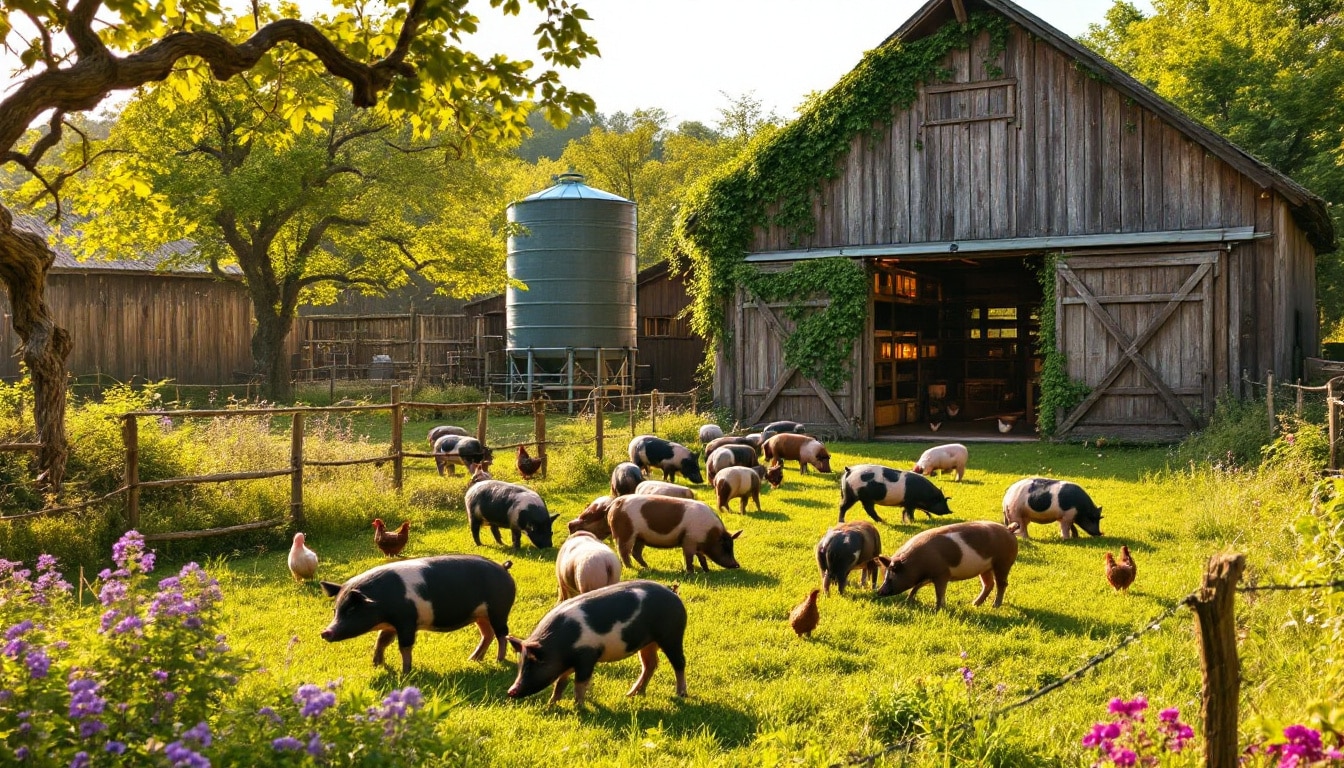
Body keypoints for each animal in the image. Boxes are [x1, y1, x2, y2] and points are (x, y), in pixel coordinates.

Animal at [317, 556, 516, 675]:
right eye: (335, 610)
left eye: (351, 610)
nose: (325, 632)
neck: (381, 602)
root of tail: (503, 568)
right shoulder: (391, 625)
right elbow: (381, 641)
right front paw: (376, 665)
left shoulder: (406, 621)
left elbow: (404, 646)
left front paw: (405, 673)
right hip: (480, 615)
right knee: (487, 634)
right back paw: (473, 659)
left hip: (499, 610)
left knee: (502, 634)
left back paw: (499, 661)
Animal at [505, 583, 688, 710]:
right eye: (520, 664)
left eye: (534, 664)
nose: (510, 691)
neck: (559, 645)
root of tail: (674, 596)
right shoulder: (569, 663)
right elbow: (560, 682)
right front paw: (550, 705)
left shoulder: (587, 656)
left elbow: (580, 683)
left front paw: (578, 708)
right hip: (648, 643)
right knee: (650, 664)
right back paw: (632, 694)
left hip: (672, 635)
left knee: (679, 662)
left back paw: (681, 695)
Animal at [569, 494, 747, 572]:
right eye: (726, 547)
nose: (736, 565)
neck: (710, 533)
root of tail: (614, 505)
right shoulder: (689, 540)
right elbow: (689, 557)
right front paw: (690, 572)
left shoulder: (695, 542)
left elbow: (701, 557)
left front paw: (706, 570)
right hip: (625, 533)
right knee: (624, 551)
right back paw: (633, 569)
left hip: (640, 537)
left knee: (635, 552)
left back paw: (647, 567)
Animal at [870, 519, 1016, 610]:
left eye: (891, 577)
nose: (879, 592)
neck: (916, 563)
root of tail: (1009, 529)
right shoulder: (929, 576)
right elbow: (916, 587)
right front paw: (908, 601)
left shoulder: (942, 573)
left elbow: (939, 592)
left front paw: (939, 608)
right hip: (985, 568)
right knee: (988, 584)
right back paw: (974, 604)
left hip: (1003, 563)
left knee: (1002, 584)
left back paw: (995, 606)